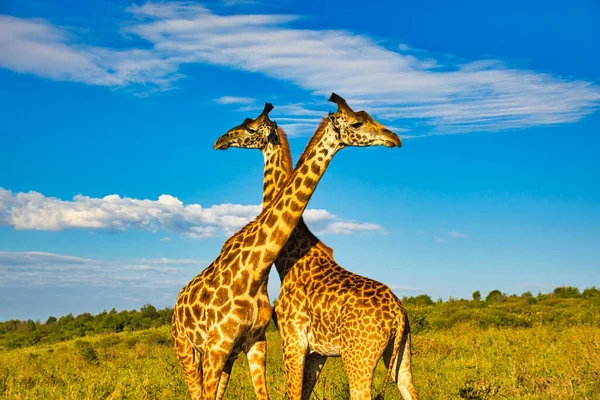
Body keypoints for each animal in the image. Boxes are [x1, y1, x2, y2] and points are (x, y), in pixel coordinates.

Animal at [171, 94, 400, 400]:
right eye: (357, 121)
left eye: (249, 128)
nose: (395, 137)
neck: (259, 268)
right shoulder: (223, 345)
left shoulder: (259, 342)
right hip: (187, 347)